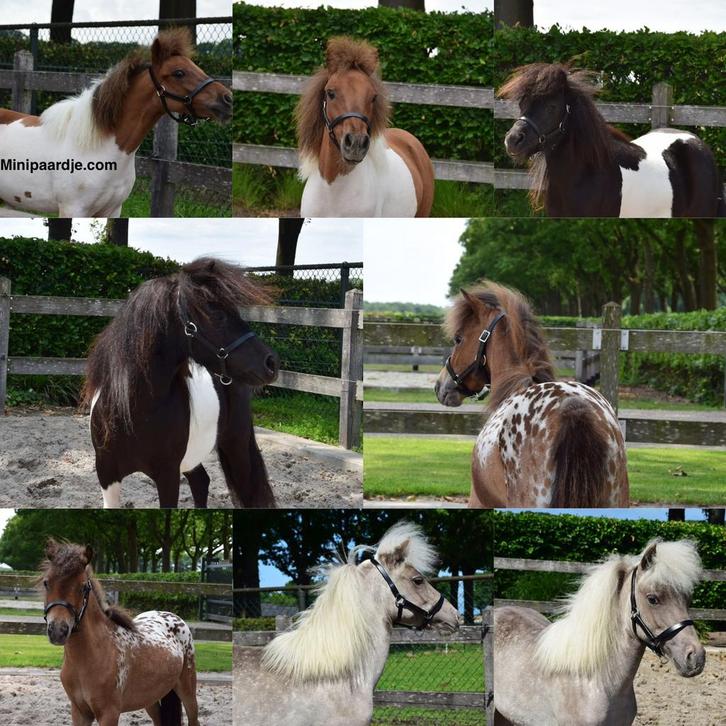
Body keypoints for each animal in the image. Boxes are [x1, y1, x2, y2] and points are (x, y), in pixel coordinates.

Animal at [41, 538, 200, 725]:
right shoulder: (79, 712)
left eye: (83, 587)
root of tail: (175, 618)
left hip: (187, 690)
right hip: (151, 699)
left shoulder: (109, 714)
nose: (58, 630)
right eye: (46, 582)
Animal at [82, 257, 279, 509]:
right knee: (201, 482)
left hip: (237, 446)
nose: (271, 363)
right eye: (215, 312)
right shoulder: (107, 474)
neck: (133, 411)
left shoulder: (168, 475)